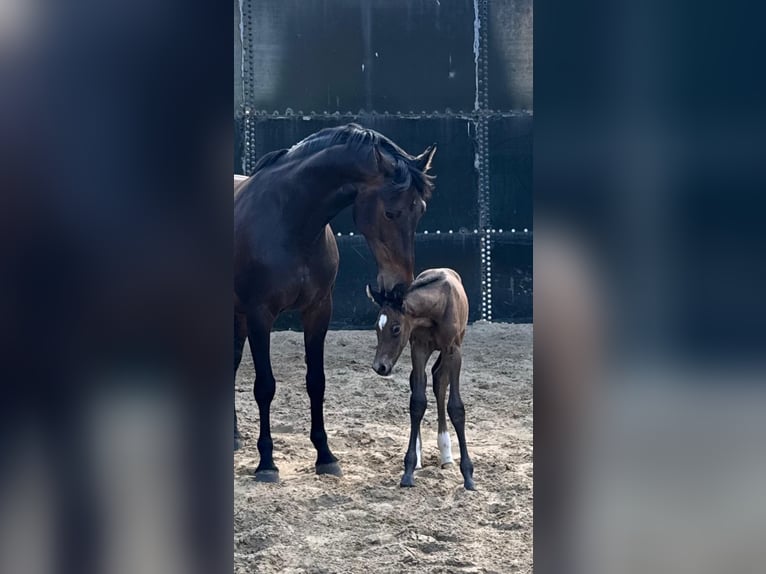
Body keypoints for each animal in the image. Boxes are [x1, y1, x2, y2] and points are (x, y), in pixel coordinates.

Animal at [234, 123, 436, 482]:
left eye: (420, 210)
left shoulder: (318, 310)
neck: (290, 224)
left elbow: (317, 381)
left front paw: (325, 456)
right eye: (390, 212)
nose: (399, 288)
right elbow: (265, 387)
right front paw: (266, 462)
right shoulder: (260, 315)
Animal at [366, 268, 475, 490]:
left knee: (440, 382)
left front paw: (468, 475)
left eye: (396, 328)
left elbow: (456, 407)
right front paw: (408, 470)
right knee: (425, 382)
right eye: (376, 326)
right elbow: (417, 402)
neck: (436, 308)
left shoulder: (453, 351)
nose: (379, 367)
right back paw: (420, 456)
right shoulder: (418, 348)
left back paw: (446, 455)